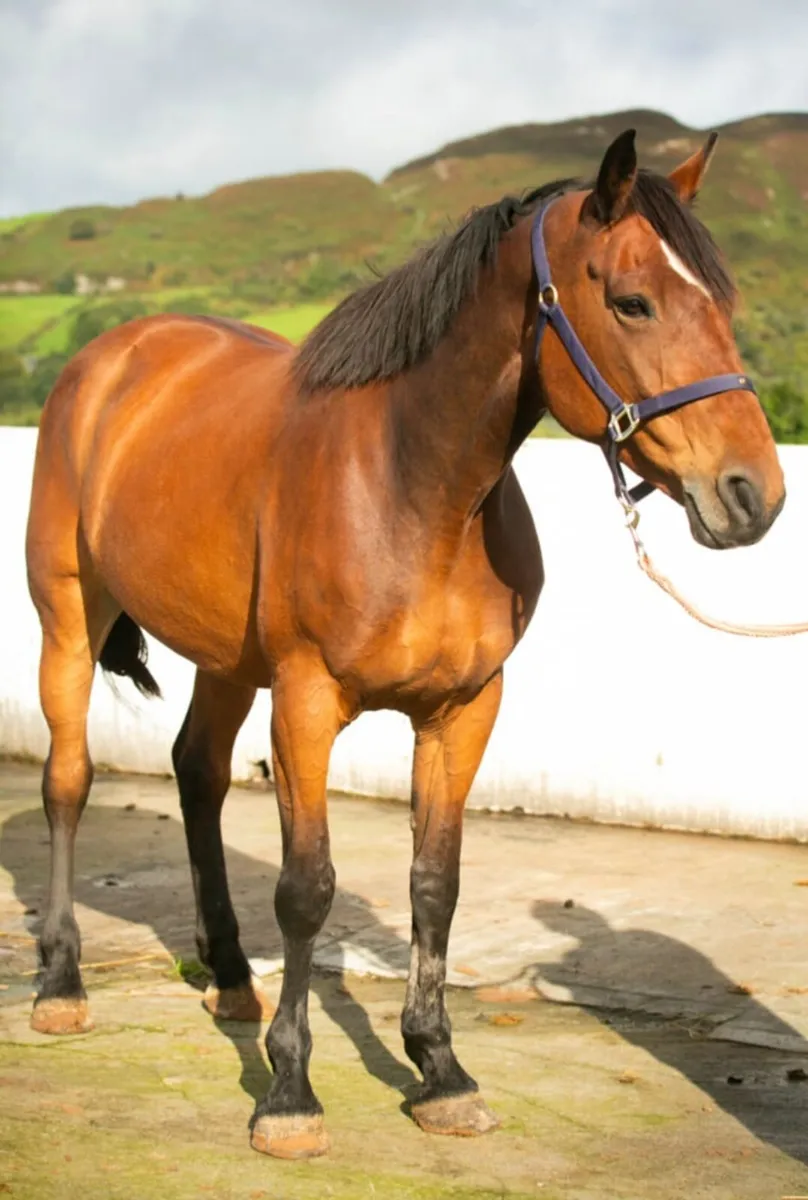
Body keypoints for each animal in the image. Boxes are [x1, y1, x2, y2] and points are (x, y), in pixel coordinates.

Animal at [25, 129, 784, 1158]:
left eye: (724, 303)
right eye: (633, 300)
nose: (754, 494)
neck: (409, 486)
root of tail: (112, 357)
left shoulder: (464, 709)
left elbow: (436, 883)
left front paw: (440, 1071)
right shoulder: (306, 700)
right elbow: (307, 888)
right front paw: (289, 1093)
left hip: (228, 661)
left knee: (197, 772)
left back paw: (230, 977)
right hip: (70, 620)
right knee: (68, 782)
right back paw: (63, 984)